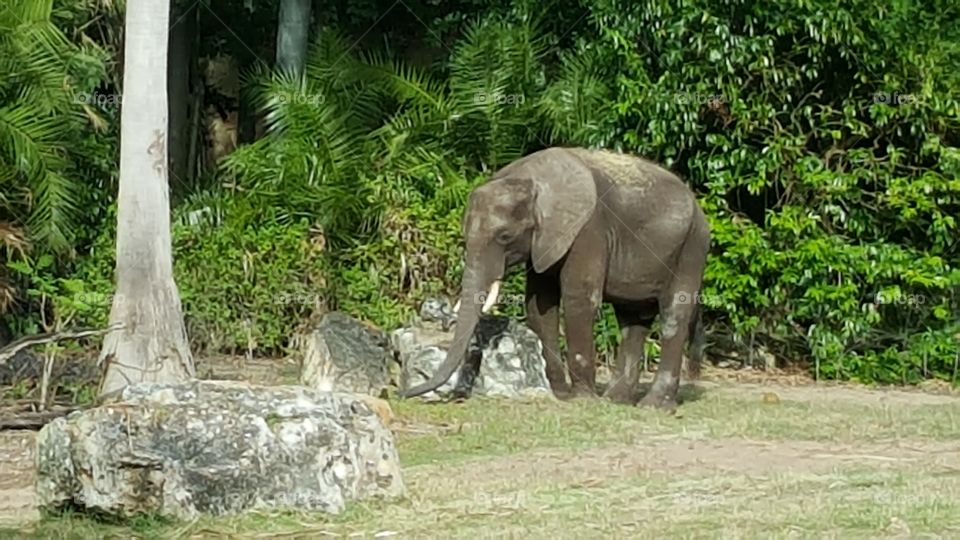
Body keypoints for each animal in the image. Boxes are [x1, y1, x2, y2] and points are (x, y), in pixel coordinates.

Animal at [394, 147, 708, 410]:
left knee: (673, 314)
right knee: (633, 319)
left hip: (692, 247)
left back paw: (653, 406)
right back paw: (615, 400)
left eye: (504, 236)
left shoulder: (588, 229)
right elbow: (540, 303)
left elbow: (578, 298)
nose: (400, 394)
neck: (531, 180)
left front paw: (582, 399)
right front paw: (562, 394)